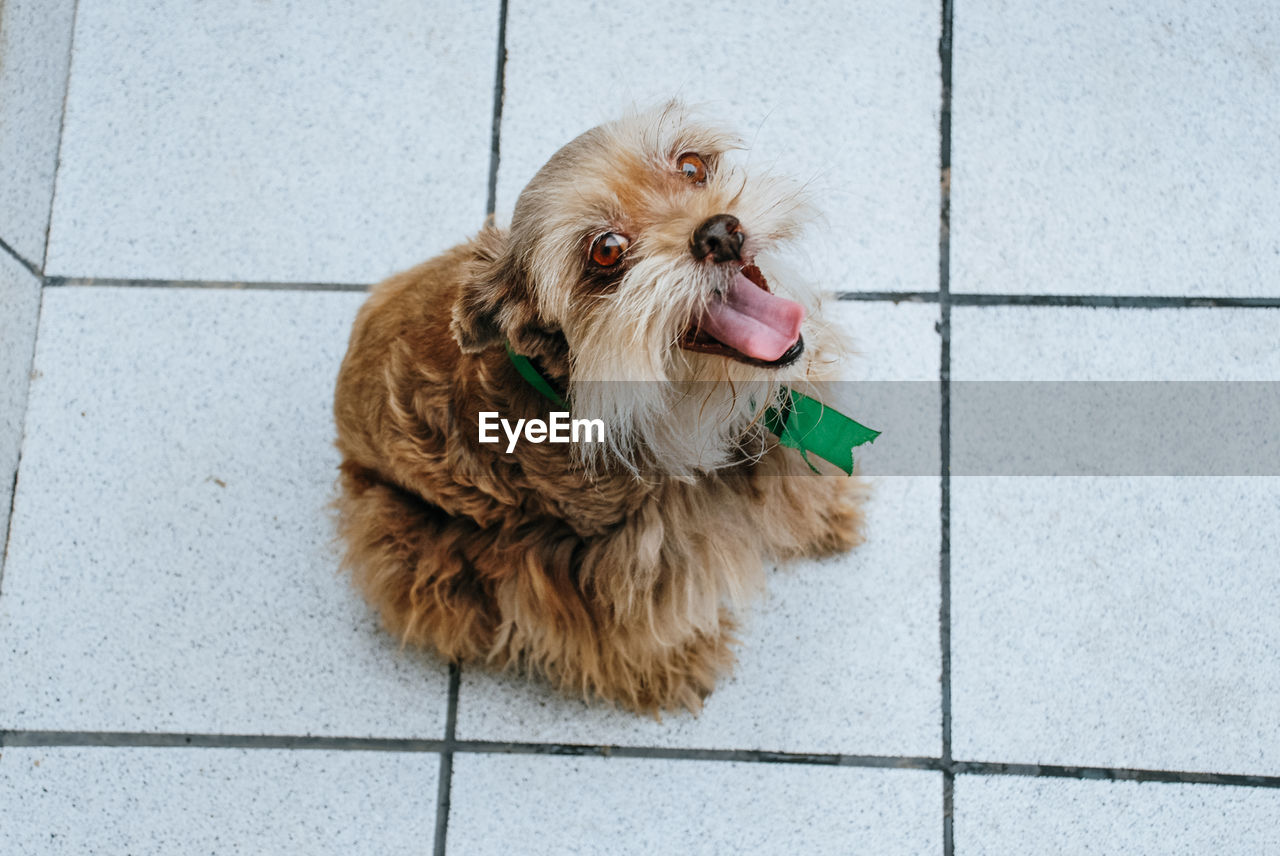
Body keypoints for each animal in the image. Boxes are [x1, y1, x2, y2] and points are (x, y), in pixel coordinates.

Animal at [335, 101, 865, 716]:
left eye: (691, 167)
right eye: (607, 250)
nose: (720, 232)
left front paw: (827, 515)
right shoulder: (617, 566)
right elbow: (633, 632)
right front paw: (676, 667)